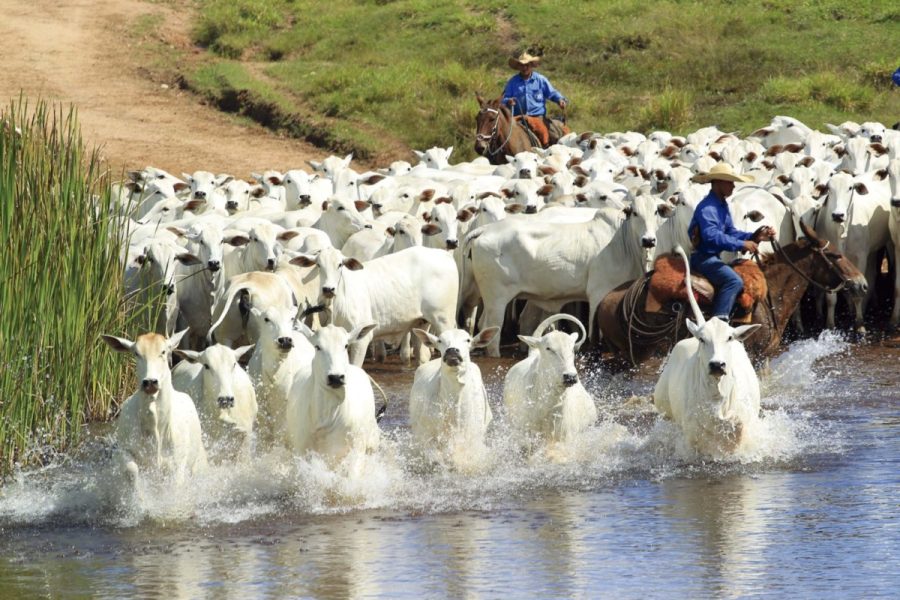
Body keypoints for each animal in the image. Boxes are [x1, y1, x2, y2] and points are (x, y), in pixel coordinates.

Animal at [101, 330, 207, 490]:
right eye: (136, 353)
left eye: (163, 351)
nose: (150, 382)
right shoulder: (122, 450)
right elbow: (131, 469)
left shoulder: (178, 462)